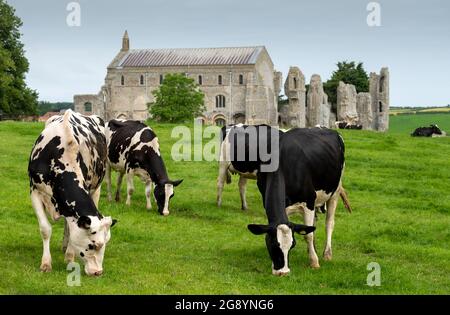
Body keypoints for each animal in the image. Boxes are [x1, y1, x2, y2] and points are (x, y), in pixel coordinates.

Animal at [27, 110, 116, 276]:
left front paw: (69, 257)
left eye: (106, 243)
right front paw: (46, 263)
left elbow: (70, 228)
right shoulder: (35, 191)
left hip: (97, 188)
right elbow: (45, 229)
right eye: (94, 245)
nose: (98, 272)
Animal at [227, 124, 346, 276]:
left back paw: (327, 253)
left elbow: (308, 235)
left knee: (329, 224)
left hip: (335, 191)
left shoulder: (309, 201)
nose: (282, 272)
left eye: (292, 244)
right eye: (271, 244)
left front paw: (314, 262)